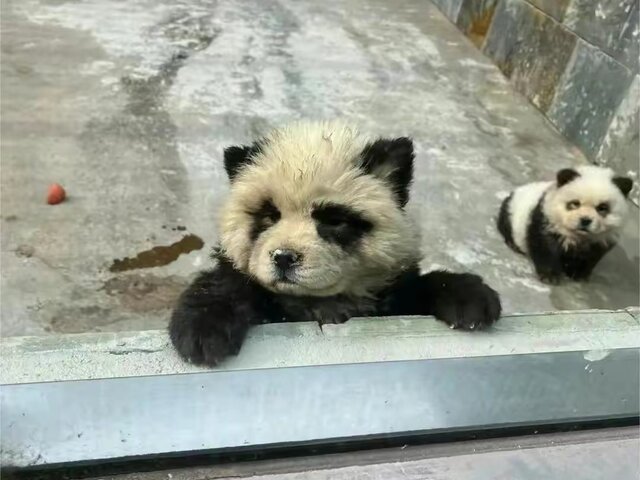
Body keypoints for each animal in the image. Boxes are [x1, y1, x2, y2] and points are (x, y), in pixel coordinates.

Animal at [170, 120, 502, 366]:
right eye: (269, 216)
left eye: (333, 220)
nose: (284, 257)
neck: (317, 301)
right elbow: (226, 282)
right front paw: (202, 331)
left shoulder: (391, 294)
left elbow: (420, 288)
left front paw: (471, 300)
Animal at [497, 165, 633, 283]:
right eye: (575, 203)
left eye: (602, 208)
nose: (585, 220)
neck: (579, 236)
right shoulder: (547, 219)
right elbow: (545, 246)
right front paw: (550, 276)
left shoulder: (603, 238)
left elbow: (592, 256)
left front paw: (578, 275)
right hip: (512, 211)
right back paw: (513, 244)